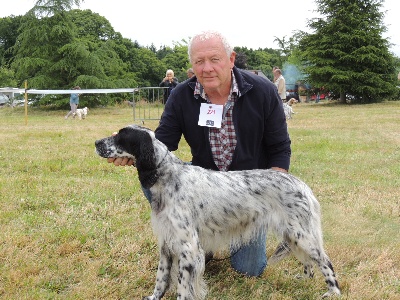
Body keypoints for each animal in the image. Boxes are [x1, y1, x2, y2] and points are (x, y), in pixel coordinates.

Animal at [94, 125, 340, 300]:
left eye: (121, 136)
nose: (96, 142)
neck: (168, 176)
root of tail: (302, 185)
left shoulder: (188, 245)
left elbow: (182, 285)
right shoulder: (166, 242)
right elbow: (161, 278)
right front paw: (154, 297)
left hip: (302, 234)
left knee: (325, 261)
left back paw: (333, 292)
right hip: (294, 235)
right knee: (309, 263)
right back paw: (304, 280)